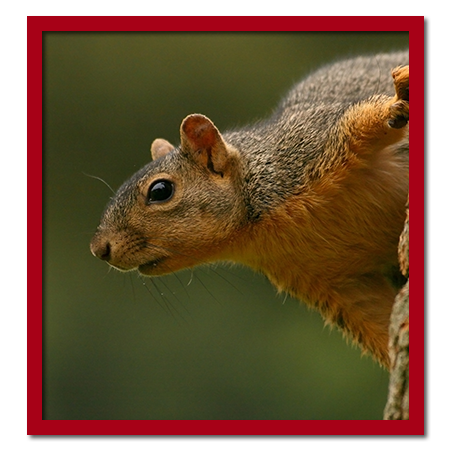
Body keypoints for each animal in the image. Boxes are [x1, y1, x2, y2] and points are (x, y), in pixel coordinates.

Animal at [90, 51, 408, 370]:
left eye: (160, 191)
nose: (99, 249)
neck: (260, 228)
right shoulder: (334, 281)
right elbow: (374, 317)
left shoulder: (313, 142)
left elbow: (363, 122)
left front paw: (394, 107)